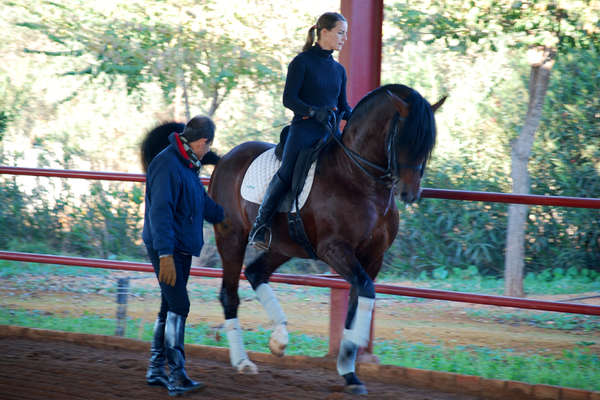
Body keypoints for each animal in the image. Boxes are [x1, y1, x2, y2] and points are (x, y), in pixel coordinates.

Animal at [211, 84, 446, 394]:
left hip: (286, 245)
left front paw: (349, 370)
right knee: (230, 295)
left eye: (428, 144)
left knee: (255, 272)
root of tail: (226, 158)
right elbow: (365, 291)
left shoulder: (373, 256)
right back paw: (243, 362)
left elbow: (359, 299)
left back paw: (279, 340)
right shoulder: (335, 249)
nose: (410, 193)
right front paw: (353, 351)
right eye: (405, 138)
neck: (358, 177)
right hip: (232, 239)